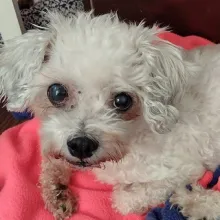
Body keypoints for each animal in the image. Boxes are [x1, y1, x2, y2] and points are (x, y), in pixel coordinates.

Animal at [0, 10, 220, 220]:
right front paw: (57, 193)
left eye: (123, 101)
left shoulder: (182, 170)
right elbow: (51, 159)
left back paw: (192, 202)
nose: (81, 145)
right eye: (56, 92)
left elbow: (122, 199)